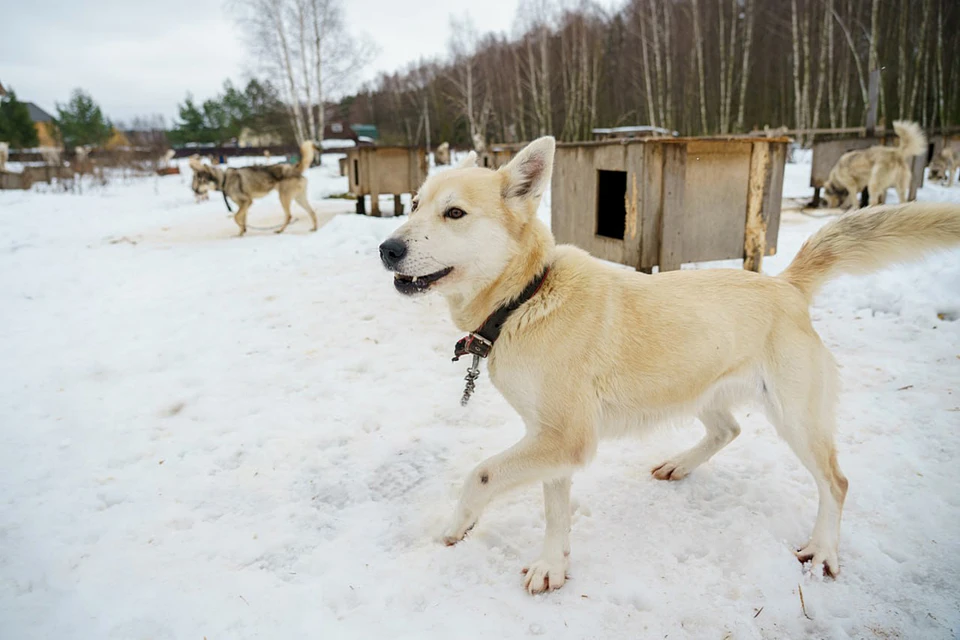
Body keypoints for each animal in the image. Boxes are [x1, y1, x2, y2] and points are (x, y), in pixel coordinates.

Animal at [378, 138, 956, 592]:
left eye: (454, 213)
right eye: (414, 204)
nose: (386, 248)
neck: (526, 298)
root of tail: (785, 285)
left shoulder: (562, 440)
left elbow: (480, 474)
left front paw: (458, 526)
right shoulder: (553, 443)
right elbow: (554, 509)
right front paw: (552, 566)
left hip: (796, 419)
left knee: (836, 483)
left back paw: (824, 550)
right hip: (698, 390)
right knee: (728, 430)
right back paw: (680, 464)